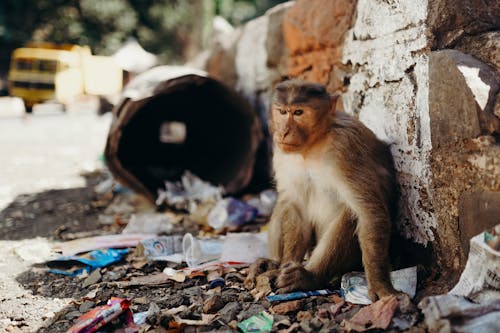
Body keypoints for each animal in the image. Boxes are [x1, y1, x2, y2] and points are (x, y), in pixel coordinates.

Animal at [244, 79, 400, 300]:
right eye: (282, 112)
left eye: (298, 112)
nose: (283, 132)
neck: (313, 145)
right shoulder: (281, 151)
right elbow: (296, 205)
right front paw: (285, 264)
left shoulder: (346, 148)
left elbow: (369, 212)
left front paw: (379, 283)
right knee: (285, 202)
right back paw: (272, 264)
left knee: (350, 213)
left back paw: (309, 277)